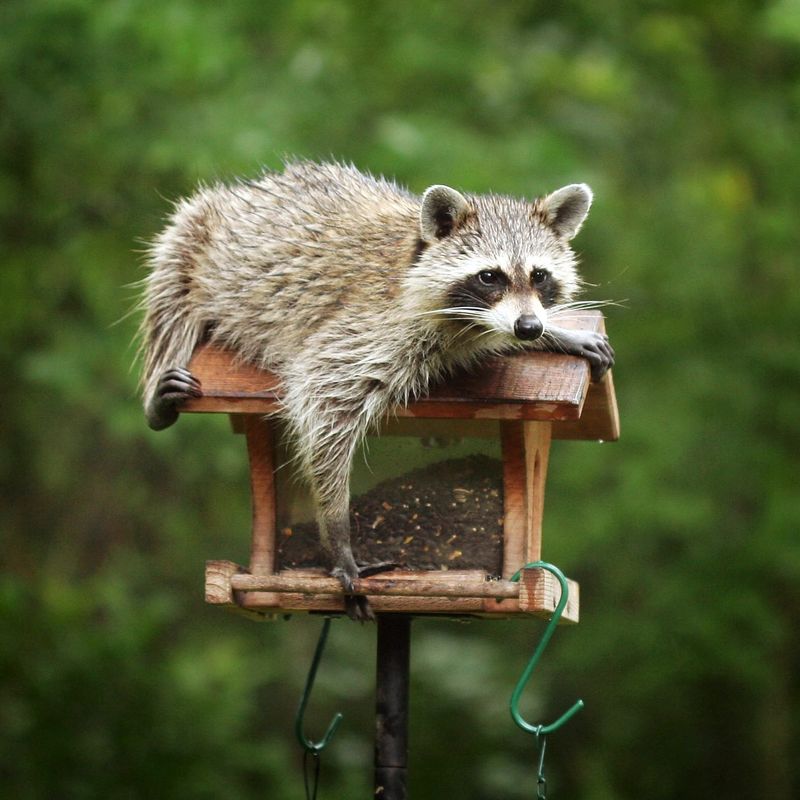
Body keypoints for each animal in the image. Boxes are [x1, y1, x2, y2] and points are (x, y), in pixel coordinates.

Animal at [139, 161, 613, 620]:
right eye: (489, 277)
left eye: (539, 275)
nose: (528, 327)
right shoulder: (369, 328)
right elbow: (323, 398)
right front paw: (337, 532)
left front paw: (554, 333)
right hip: (189, 241)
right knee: (170, 304)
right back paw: (158, 396)